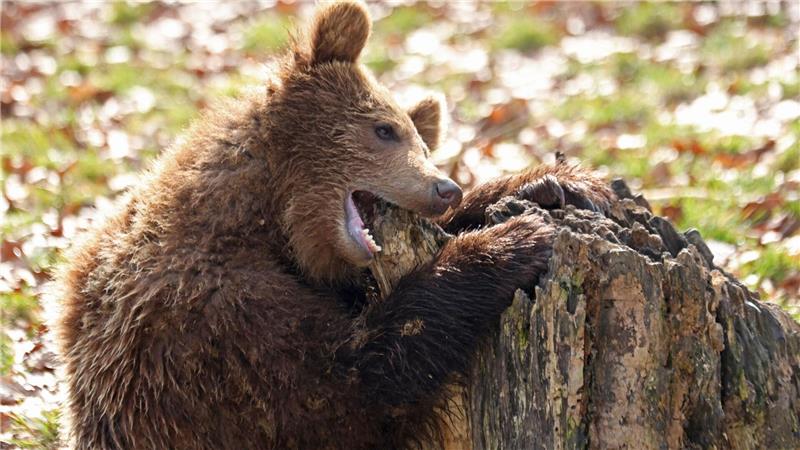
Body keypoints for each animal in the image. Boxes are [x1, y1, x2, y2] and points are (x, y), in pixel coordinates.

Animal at [54, 2, 615, 449]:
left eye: (422, 141)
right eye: (383, 129)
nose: (445, 189)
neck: (264, 219)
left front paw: (551, 186)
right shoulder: (208, 325)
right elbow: (346, 380)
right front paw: (515, 241)